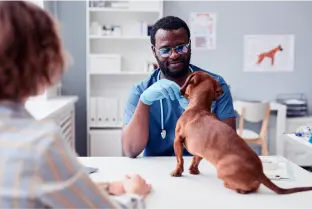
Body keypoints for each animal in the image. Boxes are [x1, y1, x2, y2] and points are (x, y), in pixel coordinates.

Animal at [169, 71, 312, 194]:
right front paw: (193, 170)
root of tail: (259, 173)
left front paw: (177, 172)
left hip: (221, 171)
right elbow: (195, 159)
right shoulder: (199, 151)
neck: (199, 108)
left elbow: (179, 159)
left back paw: (231, 186)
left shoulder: (177, 140)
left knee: (246, 189)